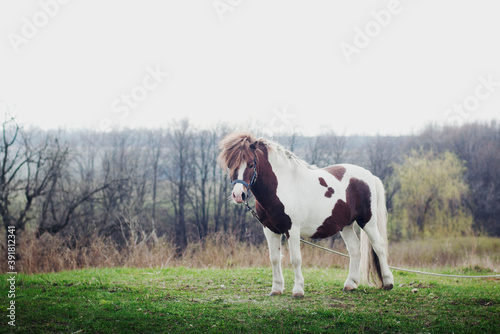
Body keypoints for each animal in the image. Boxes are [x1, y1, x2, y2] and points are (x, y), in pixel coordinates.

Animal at [219, 132, 394, 296]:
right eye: (230, 165)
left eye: (250, 164)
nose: (238, 195)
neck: (283, 186)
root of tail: (369, 175)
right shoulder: (270, 230)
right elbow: (274, 258)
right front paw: (276, 288)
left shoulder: (292, 229)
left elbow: (296, 259)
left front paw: (298, 290)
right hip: (346, 225)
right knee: (354, 249)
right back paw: (350, 284)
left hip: (367, 221)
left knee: (379, 246)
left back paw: (388, 282)